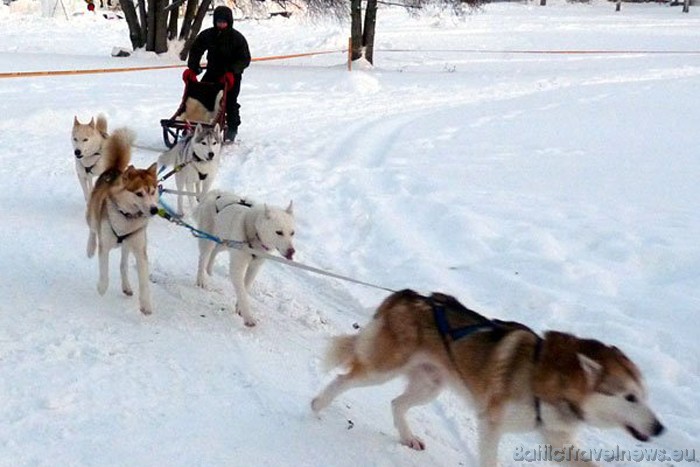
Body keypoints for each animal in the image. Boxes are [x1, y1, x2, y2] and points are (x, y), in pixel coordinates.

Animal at [85, 130, 159, 316]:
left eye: (153, 191)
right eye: (139, 193)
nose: (154, 209)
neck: (127, 216)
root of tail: (114, 170)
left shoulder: (140, 250)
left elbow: (143, 281)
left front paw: (146, 304)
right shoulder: (105, 246)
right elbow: (104, 271)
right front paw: (102, 288)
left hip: (128, 245)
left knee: (123, 264)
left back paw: (126, 286)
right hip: (92, 215)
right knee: (92, 230)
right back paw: (90, 248)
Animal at [194, 188, 296, 328]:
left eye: (292, 233)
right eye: (279, 232)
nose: (292, 252)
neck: (254, 234)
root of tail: (215, 193)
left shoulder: (254, 267)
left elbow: (246, 287)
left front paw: (239, 308)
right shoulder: (237, 267)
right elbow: (242, 292)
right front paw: (248, 316)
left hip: (226, 243)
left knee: (215, 251)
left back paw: (209, 271)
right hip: (208, 240)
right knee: (203, 257)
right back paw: (201, 279)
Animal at [314, 290, 668, 466]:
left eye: (645, 395)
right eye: (630, 397)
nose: (659, 428)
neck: (545, 378)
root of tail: (407, 296)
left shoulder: (558, 440)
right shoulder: (490, 424)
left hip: (430, 385)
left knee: (396, 403)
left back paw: (408, 436)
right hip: (383, 369)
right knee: (344, 379)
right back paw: (318, 405)